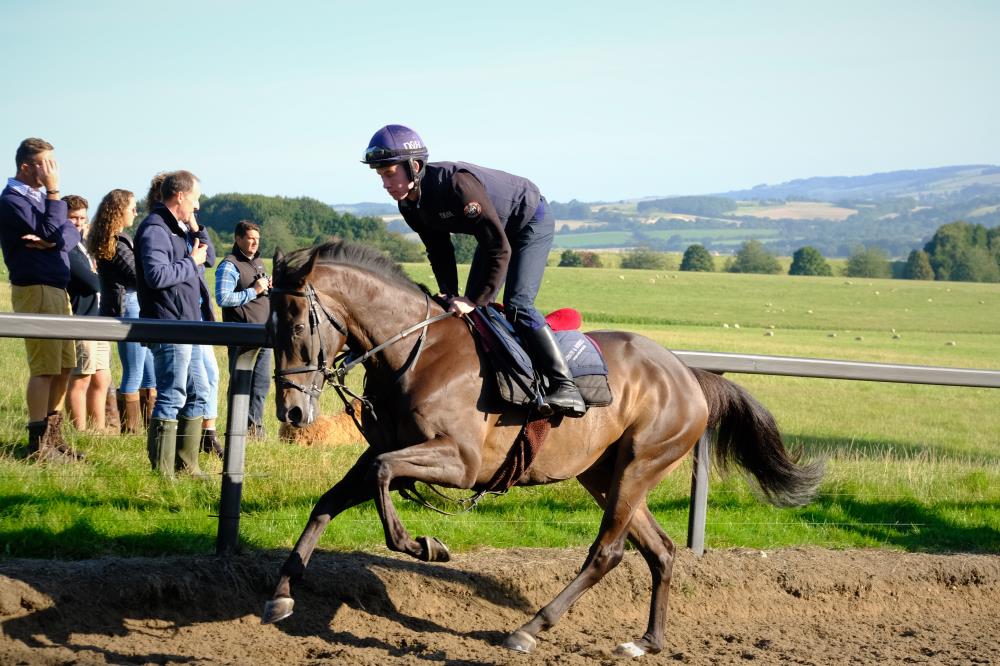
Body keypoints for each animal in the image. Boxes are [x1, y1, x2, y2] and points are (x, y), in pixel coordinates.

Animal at [261, 240, 823, 658]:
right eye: (267, 327)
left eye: (298, 326)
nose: (292, 414)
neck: (415, 352)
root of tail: (688, 374)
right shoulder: (392, 452)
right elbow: (330, 500)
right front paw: (282, 595)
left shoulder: (460, 461)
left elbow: (381, 475)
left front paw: (424, 545)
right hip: (603, 473)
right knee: (659, 549)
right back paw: (647, 641)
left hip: (641, 463)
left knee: (608, 551)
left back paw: (529, 628)